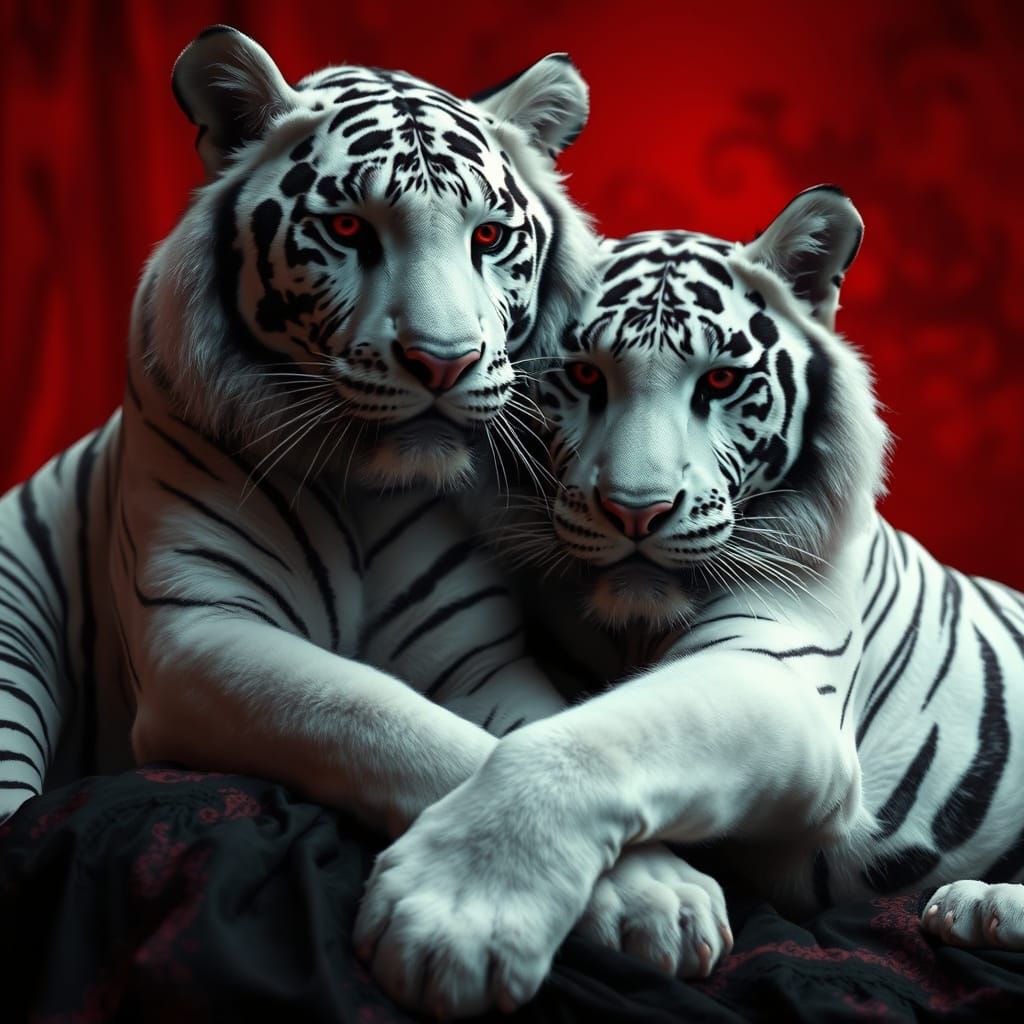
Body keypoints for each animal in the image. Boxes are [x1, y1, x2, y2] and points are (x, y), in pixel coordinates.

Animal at [352, 185, 1024, 1018]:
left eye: (720, 382)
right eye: (583, 375)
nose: (635, 512)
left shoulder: (775, 675)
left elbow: (586, 739)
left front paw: (455, 914)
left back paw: (978, 905)